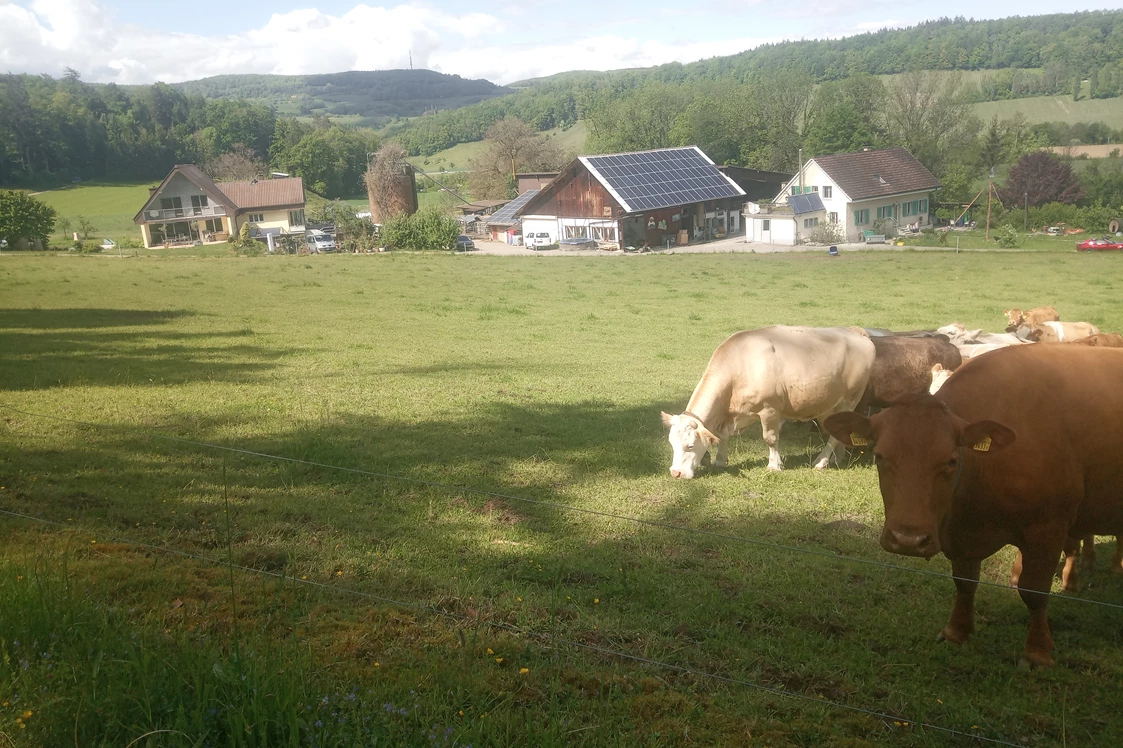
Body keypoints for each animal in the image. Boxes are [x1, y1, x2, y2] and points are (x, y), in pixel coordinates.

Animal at [660, 325, 871, 478]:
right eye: (671, 444)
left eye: (690, 445)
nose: (675, 473)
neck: (740, 366)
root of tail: (854, 331)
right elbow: (723, 435)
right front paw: (720, 460)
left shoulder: (769, 410)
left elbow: (770, 438)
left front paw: (774, 465)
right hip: (829, 406)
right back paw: (838, 458)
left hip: (850, 400)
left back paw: (821, 461)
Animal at [822, 343, 1123, 664]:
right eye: (879, 456)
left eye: (952, 460)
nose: (907, 540)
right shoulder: (961, 535)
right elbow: (965, 582)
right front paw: (957, 631)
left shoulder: (1048, 528)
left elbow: (1035, 591)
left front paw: (1037, 651)